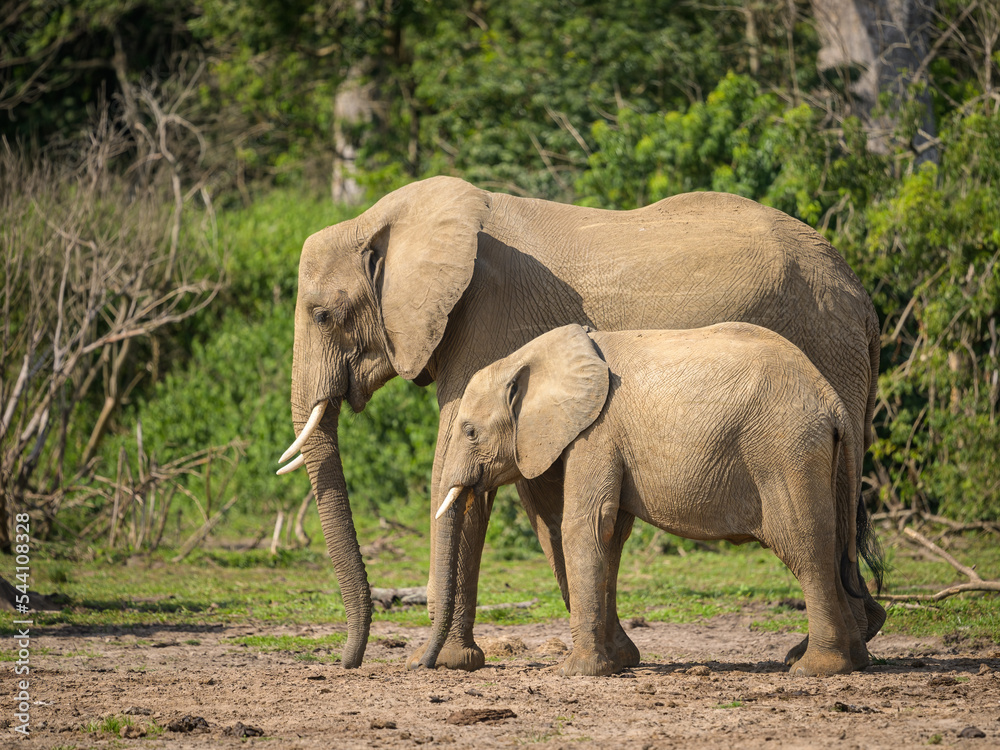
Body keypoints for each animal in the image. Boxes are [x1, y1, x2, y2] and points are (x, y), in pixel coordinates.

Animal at [423, 323, 880, 677]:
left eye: (469, 432)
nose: (424, 665)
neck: (534, 355)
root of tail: (832, 400)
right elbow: (611, 535)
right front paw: (620, 663)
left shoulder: (596, 431)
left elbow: (586, 525)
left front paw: (576, 672)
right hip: (820, 458)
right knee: (835, 544)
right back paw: (852, 663)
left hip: (785, 451)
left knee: (805, 546)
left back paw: (813, 669)